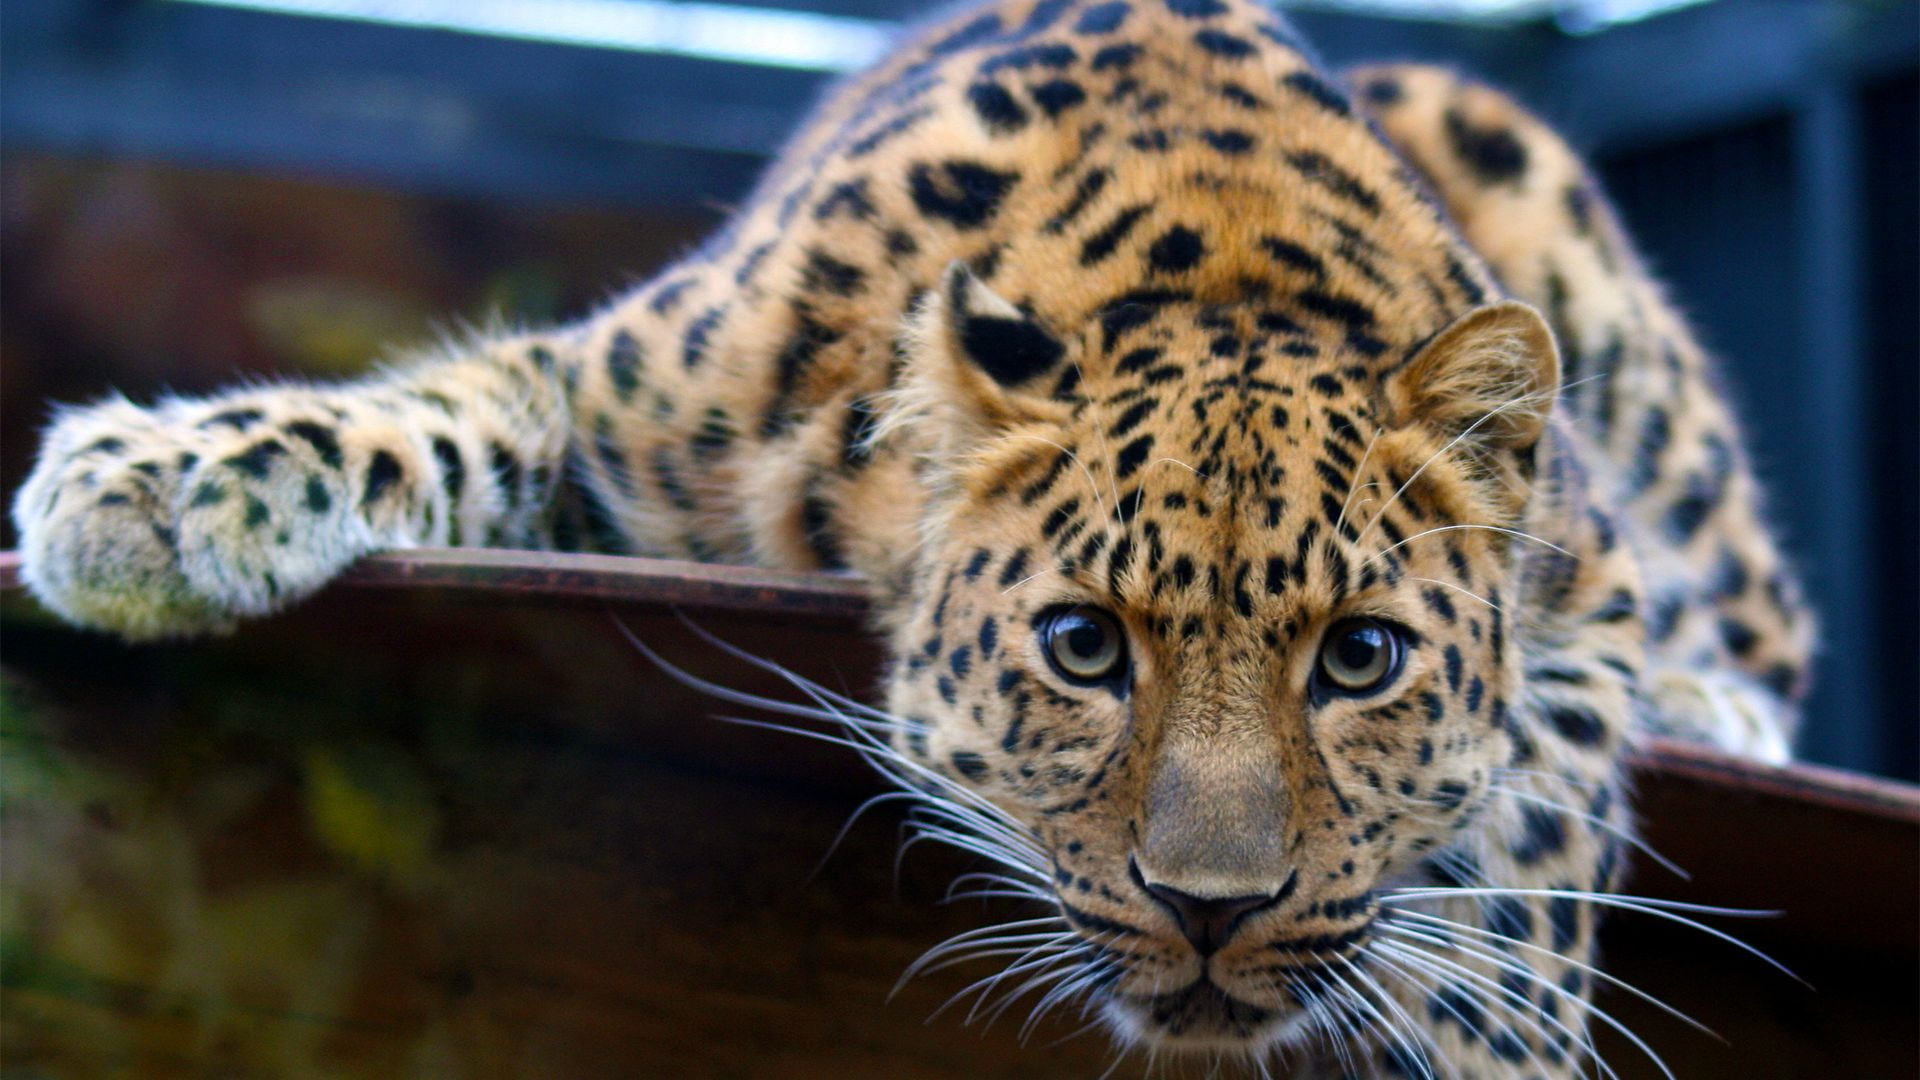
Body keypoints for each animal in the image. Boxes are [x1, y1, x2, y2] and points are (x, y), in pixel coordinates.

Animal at [11, 0, 1815, 1073]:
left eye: (1361, 658)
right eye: (1084, 646)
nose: (1212, 910)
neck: (1223, 255)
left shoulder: (1587, 586)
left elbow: (1535, 812)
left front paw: (1504, 1034)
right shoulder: (624, 393)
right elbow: (444, 409)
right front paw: (156, 484)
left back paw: (1720, 701)